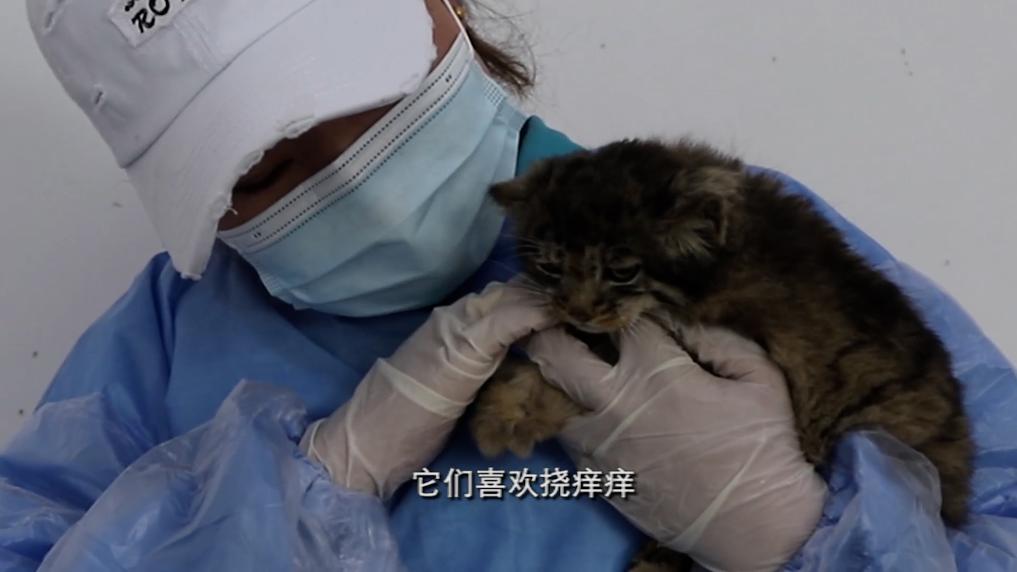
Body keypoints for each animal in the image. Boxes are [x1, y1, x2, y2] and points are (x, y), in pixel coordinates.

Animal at [468, 138, 973, 569]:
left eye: (622, 271)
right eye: (550, 266)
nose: (576, 309)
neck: (726, 261)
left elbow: (574, 373)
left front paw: (508, 413)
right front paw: (503, 403)